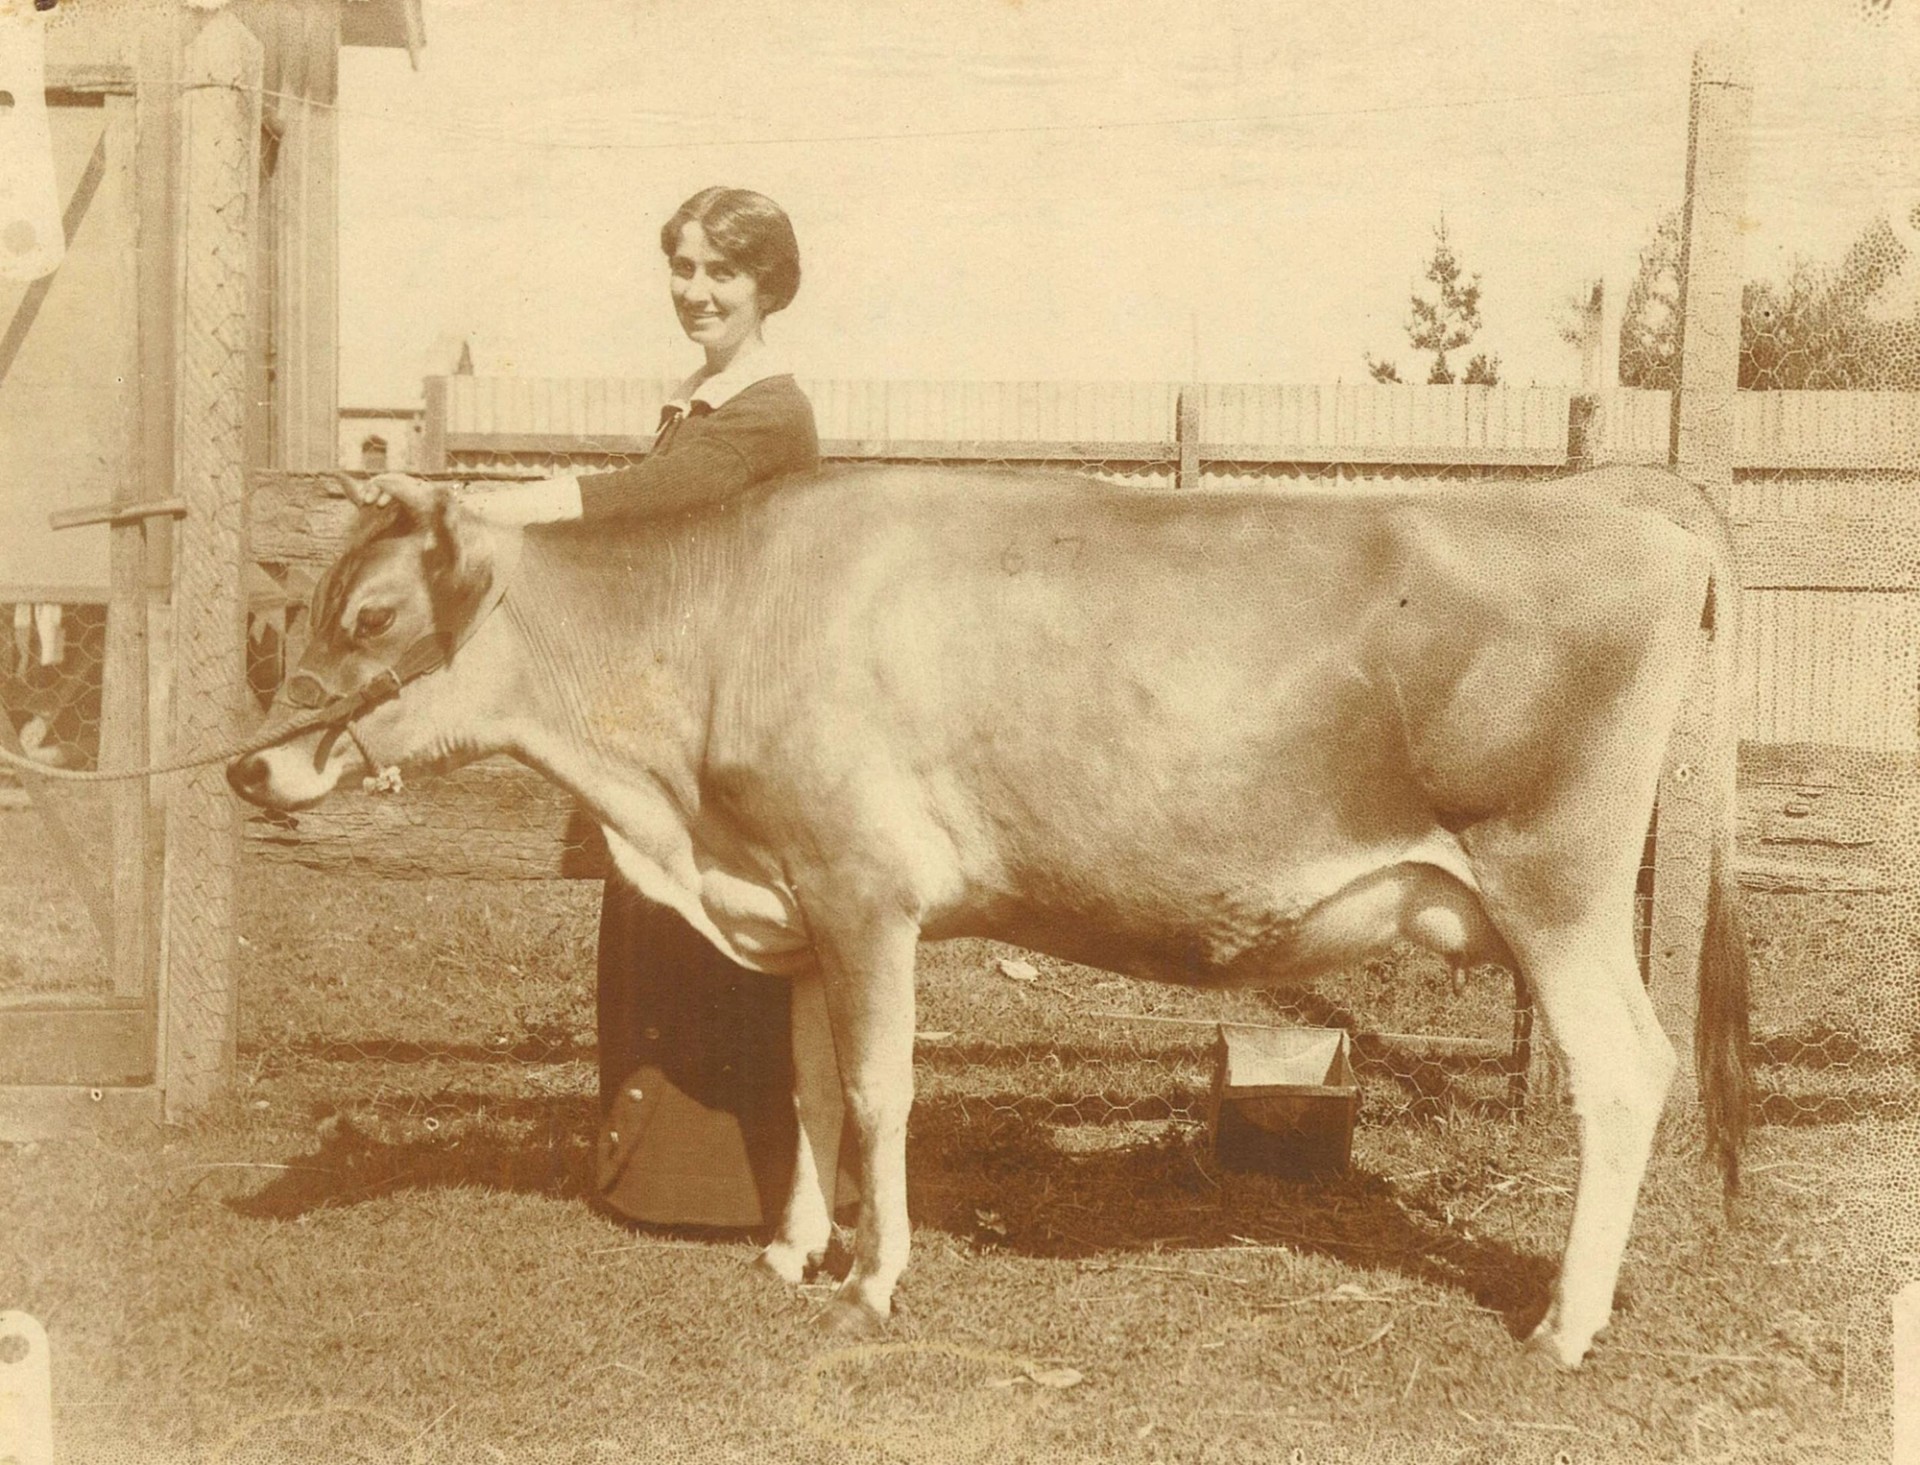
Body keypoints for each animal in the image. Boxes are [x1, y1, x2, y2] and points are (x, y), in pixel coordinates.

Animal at [227, 463, 1750, 1370]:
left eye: (371, 616)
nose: (247, 768)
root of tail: (1634, 502)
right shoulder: (801, 895)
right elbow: (804, 1083)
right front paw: (793, 1247)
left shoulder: (868, 890)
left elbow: (879, 1088)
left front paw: (876, 1278)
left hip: (1558, 885)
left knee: (1628, 1070)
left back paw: (1564, 1322)